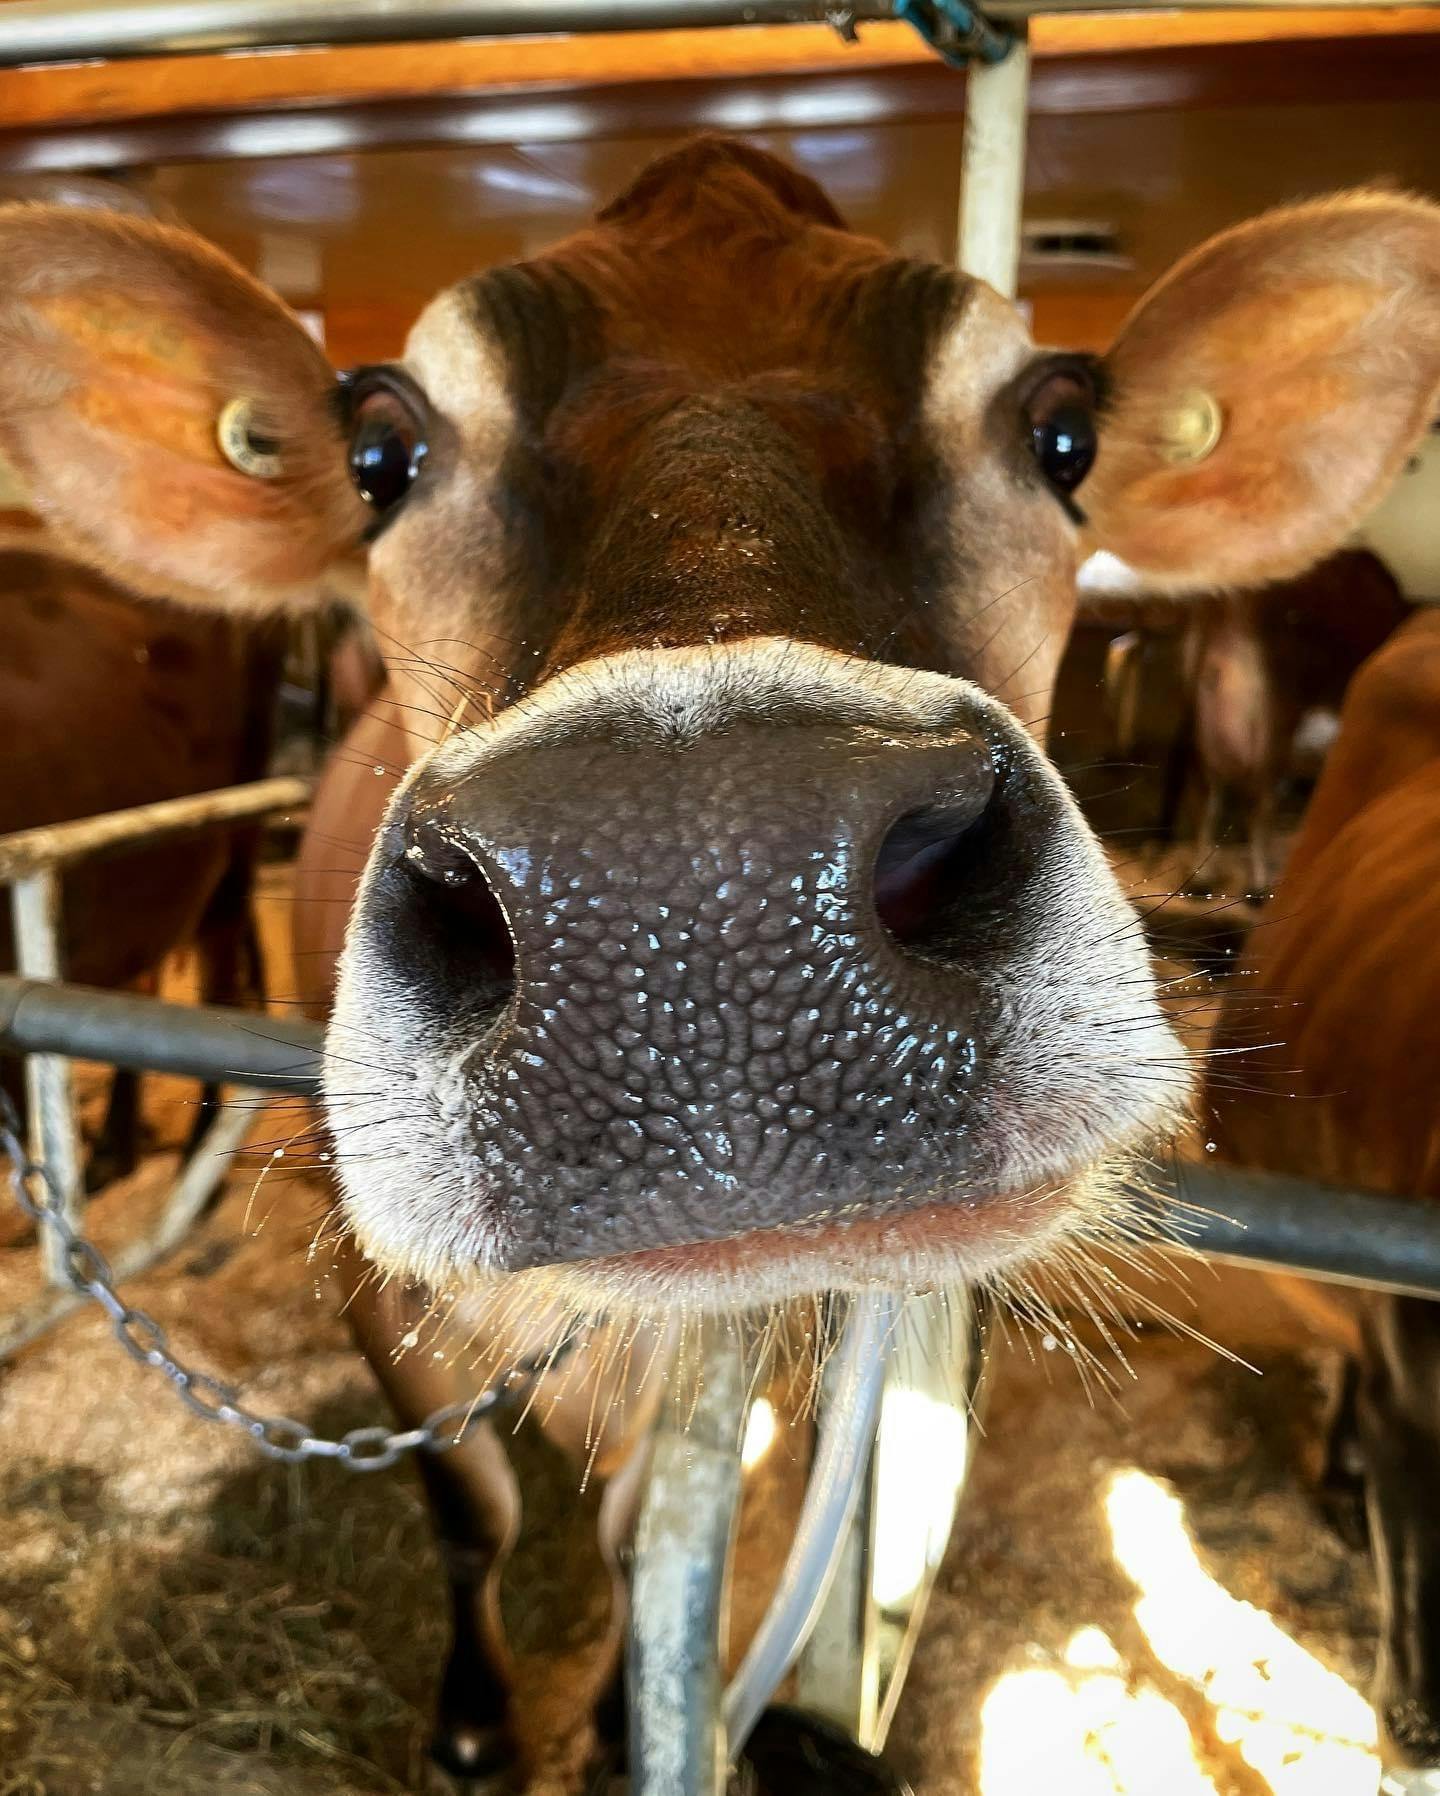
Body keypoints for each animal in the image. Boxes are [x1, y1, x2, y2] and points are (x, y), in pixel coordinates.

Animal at [1, 147, 1437, 1786]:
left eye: (1061, 428)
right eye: (380, 449)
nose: (695, 898)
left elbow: (644, 1537)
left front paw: (623, 1721)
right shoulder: (359, 1252)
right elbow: (471, 1505)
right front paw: (478, 1727)